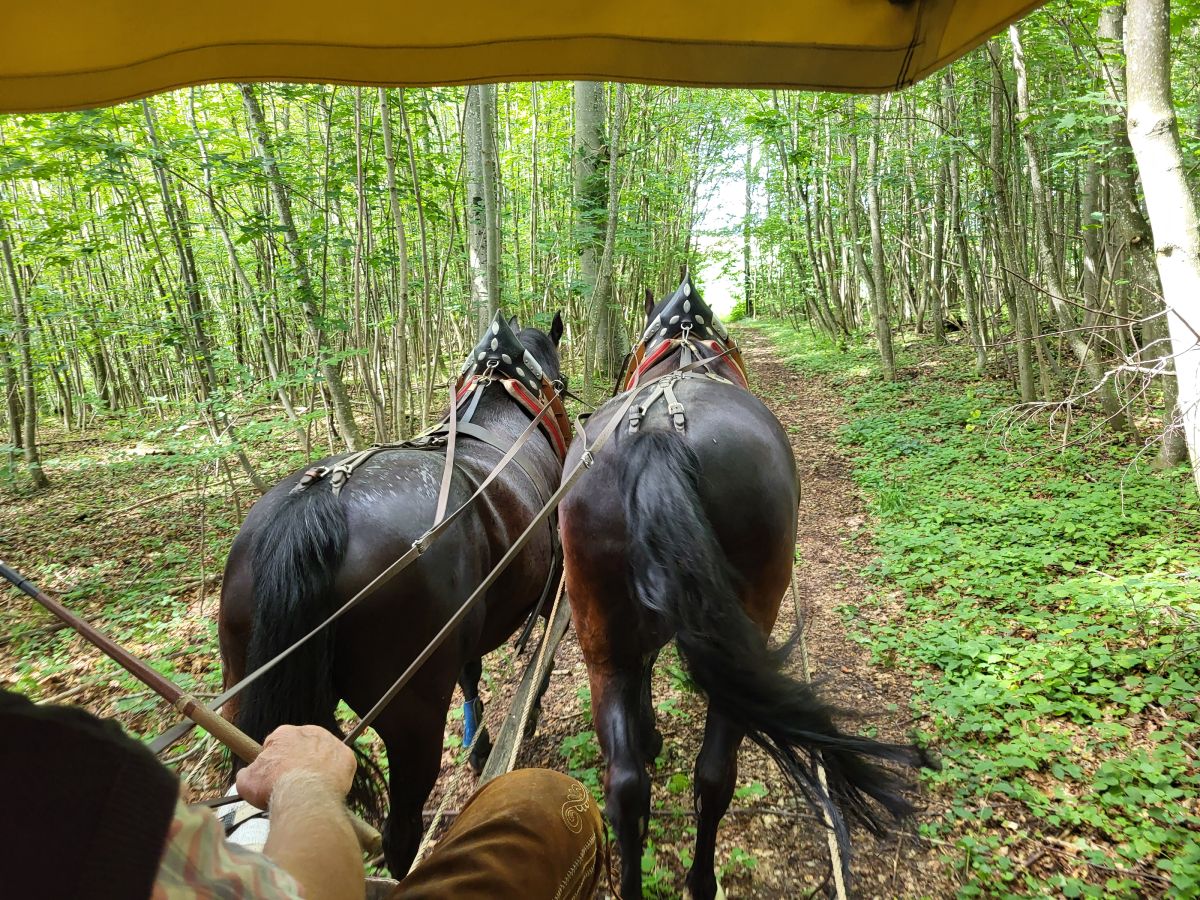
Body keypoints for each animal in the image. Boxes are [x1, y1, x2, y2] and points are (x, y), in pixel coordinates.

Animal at [217, 314, 566, 878]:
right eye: (555, 377)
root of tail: (322, 503)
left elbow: (471, 673)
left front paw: (479, 745)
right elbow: (544, 655)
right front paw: (528, 715)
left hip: (243, 692)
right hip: (411, 716)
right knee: (401, 832)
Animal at [556, 278, 931, 897]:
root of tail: (659, 436)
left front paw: (650, 734)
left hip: (600, 633)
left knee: (627, 784)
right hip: (747, 619)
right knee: (714, 775)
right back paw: (703, 879)